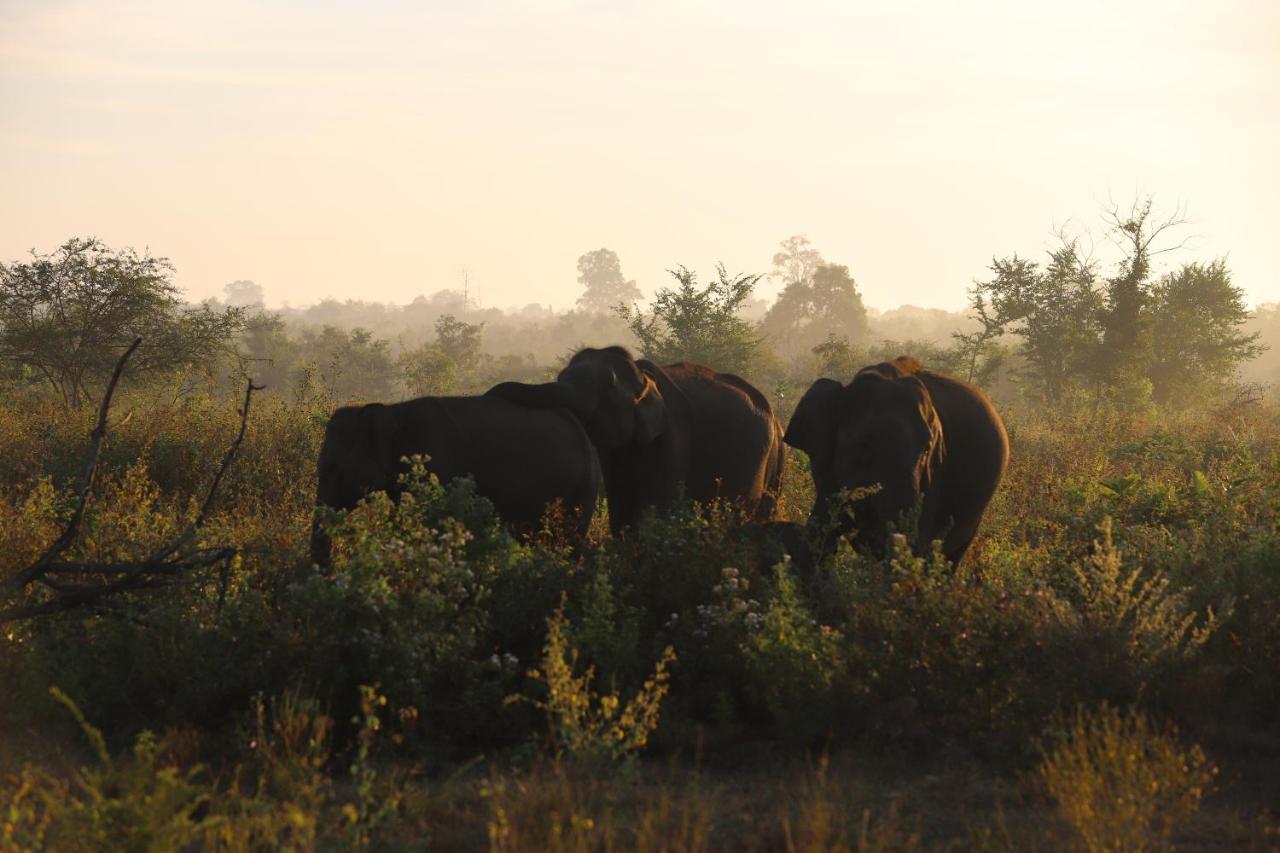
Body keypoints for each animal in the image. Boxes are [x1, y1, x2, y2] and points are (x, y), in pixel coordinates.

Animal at [483, 343, 783, 532]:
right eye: (561, 375)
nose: (490, 393)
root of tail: (776, 419)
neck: (643, 376)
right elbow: (621, 505)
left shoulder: (674, 434)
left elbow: (655, 508)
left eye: (608, 386)